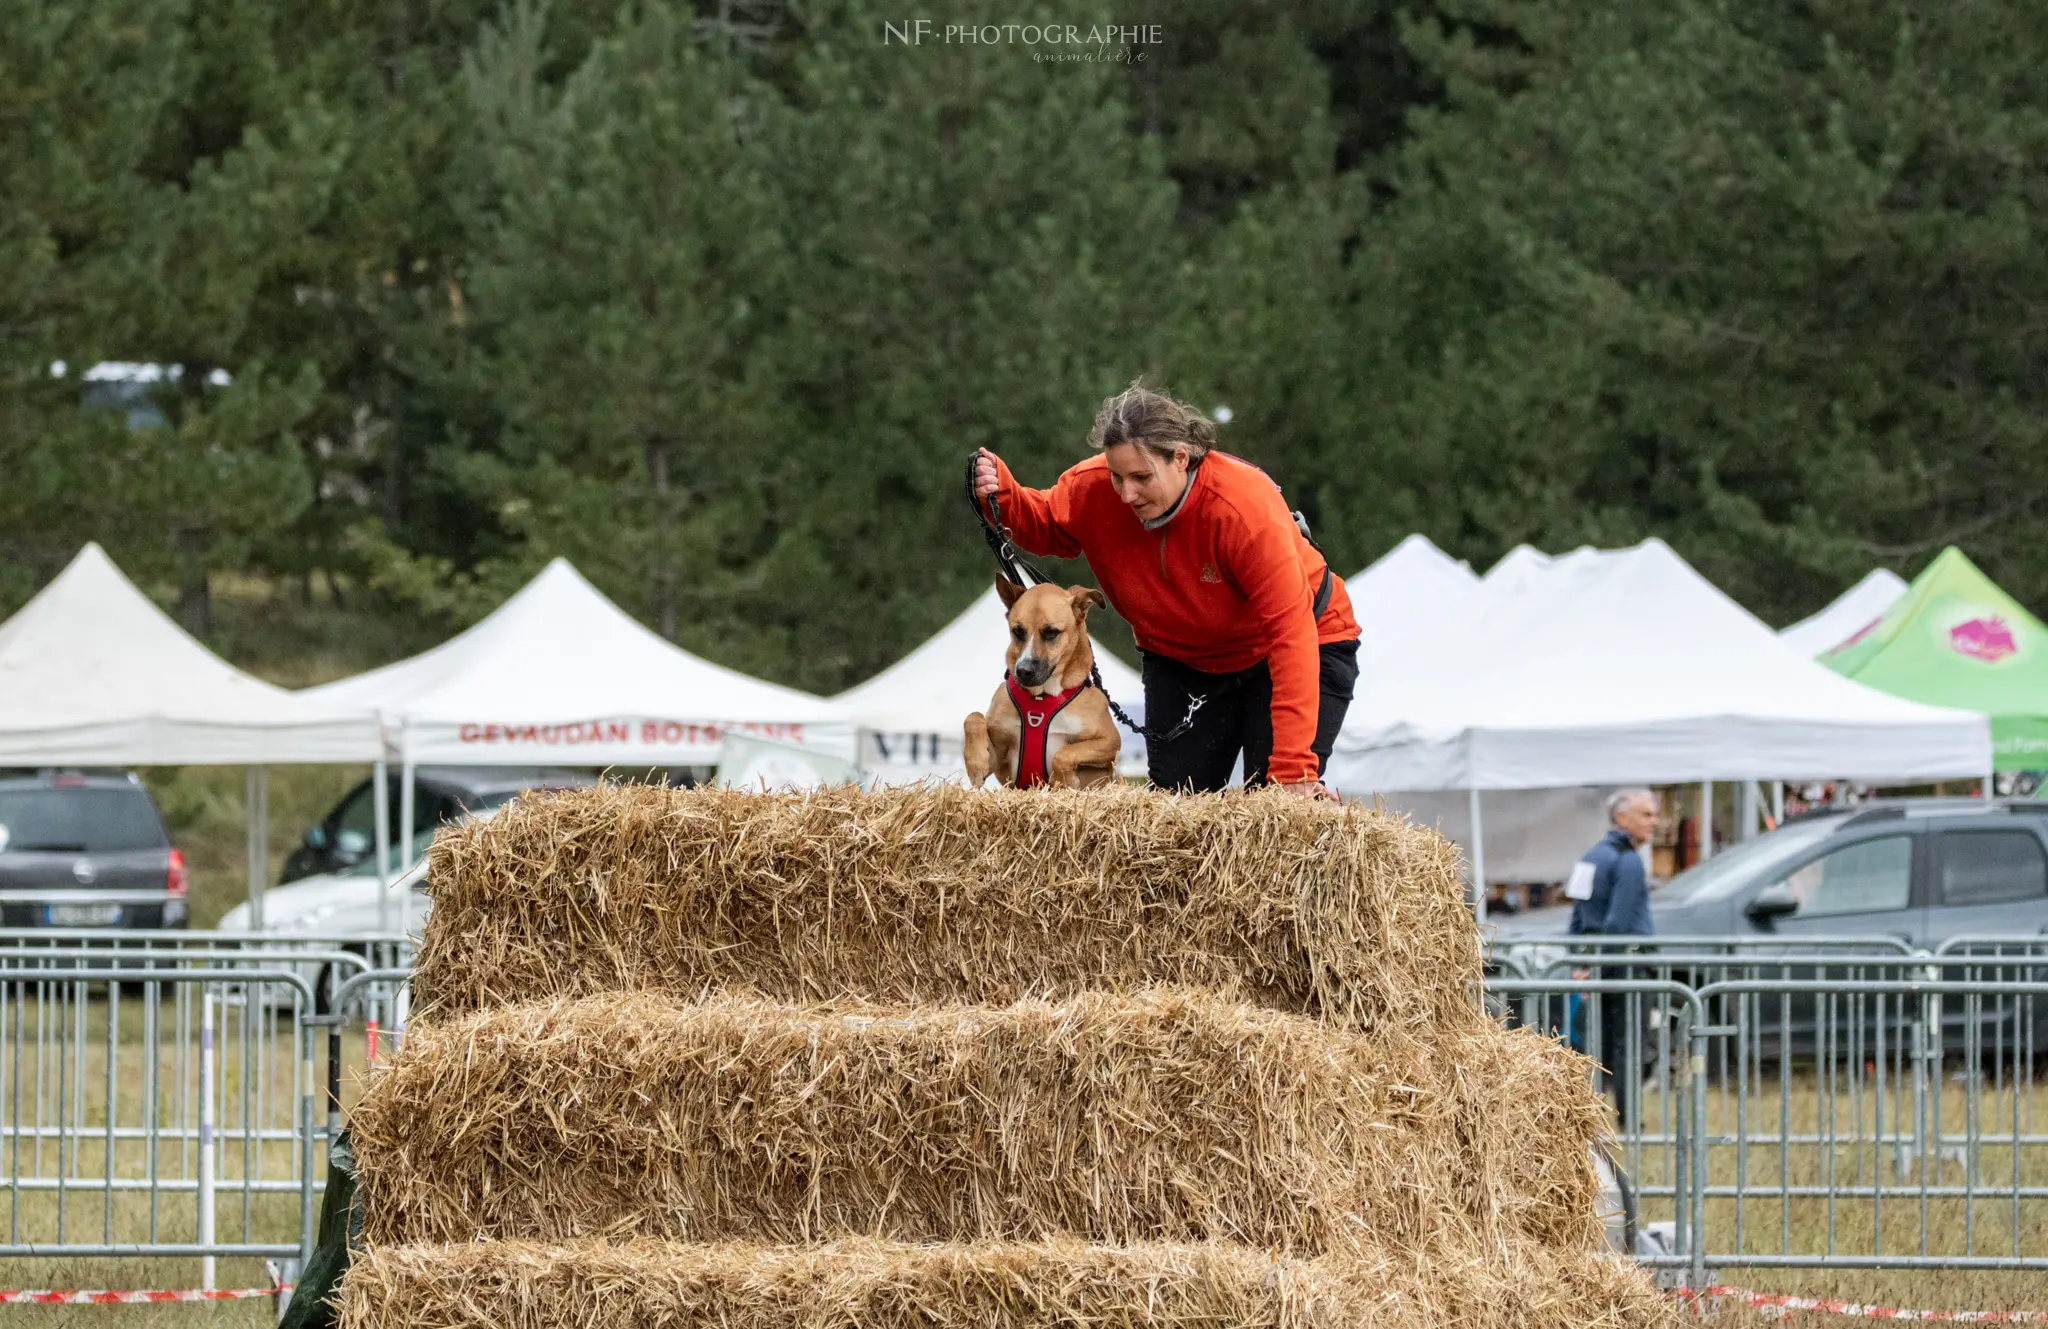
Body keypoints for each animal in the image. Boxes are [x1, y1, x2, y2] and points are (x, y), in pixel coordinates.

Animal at [962, 573, 1122, 782]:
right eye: (1018, 631)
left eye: (1051, 632)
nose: (1023, 671)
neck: (1041, 696)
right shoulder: (999, 756)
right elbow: (973, 717)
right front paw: (976, 762)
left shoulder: (1110, 742)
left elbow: (1064, 753)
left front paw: (1064, 780)